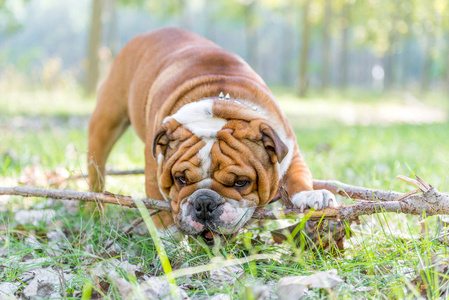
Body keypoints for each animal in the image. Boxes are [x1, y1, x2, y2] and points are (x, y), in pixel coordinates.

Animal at [88, 27, 336, 246]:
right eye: (180, 179)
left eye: (241, 182)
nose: (204, 202)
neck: (218, 109)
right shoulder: (154, 173)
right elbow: (163, 216)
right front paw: (174, 248)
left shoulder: (288, 148)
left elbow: (297, 176)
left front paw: (312, 195)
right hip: (107, 120)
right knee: (96, 170)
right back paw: (93, 210)